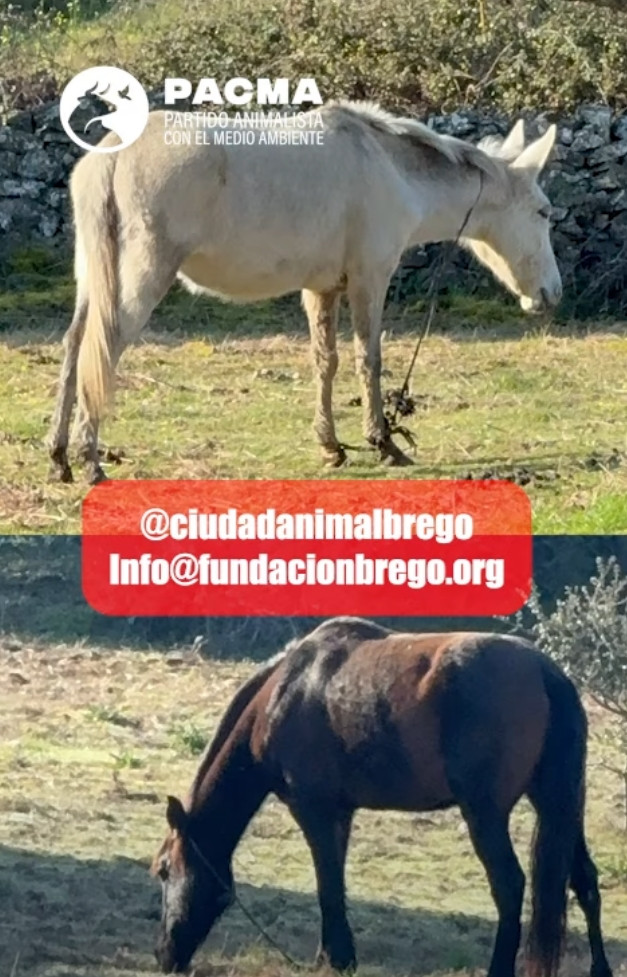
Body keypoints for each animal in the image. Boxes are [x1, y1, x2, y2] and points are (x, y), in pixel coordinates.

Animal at [47, 101, 562, 484]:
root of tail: (110, 155)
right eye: (544, 211)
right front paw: (384, 443)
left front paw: (332, 446)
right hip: (140, 280)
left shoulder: (322, 289)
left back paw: (60, 457)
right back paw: (90, 460)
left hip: (95, 281)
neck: (388, 167)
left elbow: (325, 362)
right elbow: (368, 360)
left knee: (75, 348)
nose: (551, 293)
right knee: (103, 349)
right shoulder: (369, 279)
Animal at [151, 617, 611, 977]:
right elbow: (334, 882)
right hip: (560, 804)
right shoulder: (341, 812)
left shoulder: (314, 809)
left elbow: (327, 883)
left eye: (163, 870)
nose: (164, 956)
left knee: (509, 885)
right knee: (585, 882)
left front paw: (336, 958)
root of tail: (546, 672)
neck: (284, 692)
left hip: (486, 814)